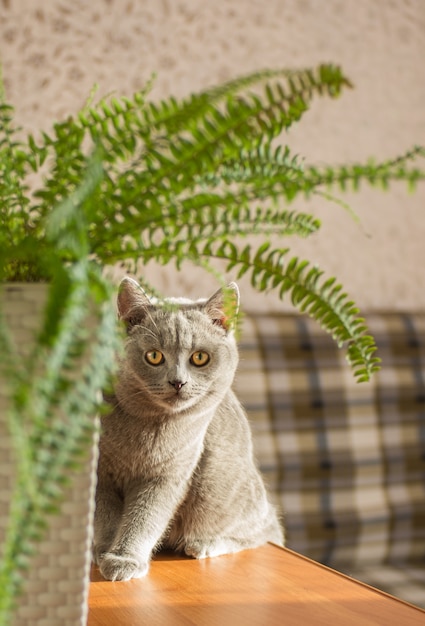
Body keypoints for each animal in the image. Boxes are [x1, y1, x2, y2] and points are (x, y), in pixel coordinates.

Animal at [94, 278, 284, 580]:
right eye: (154, 356)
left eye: (200, 358)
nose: (177, 382)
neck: (150, 425)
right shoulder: (101, 471)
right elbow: (105, 516)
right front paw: (103, 552)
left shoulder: (168, 475)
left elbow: (145, 517)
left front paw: (124, 559)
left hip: (213, 487)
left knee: (267, 530)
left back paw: (205, 545)